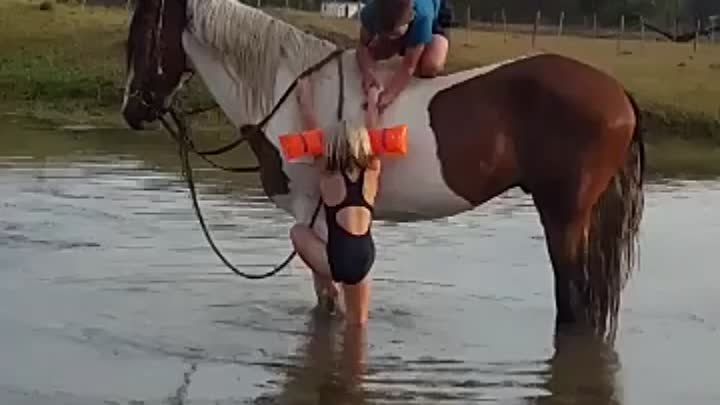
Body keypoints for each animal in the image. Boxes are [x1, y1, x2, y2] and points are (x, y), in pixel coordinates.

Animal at [122, 0, 648, 340]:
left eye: (141, 35)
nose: (132, 111)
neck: (290, 94)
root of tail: (616, 92)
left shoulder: (311, 210)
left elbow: (332, 289)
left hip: (563, 215)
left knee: (572, 301)